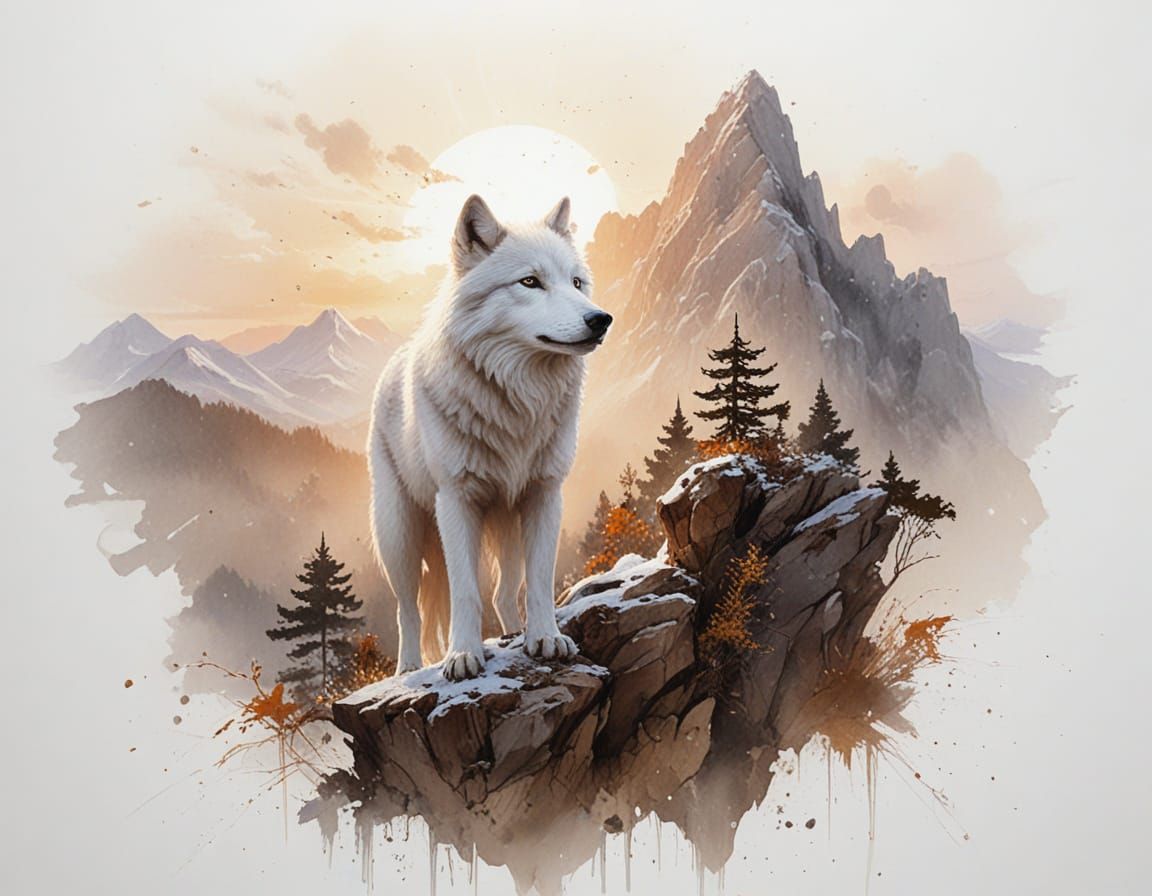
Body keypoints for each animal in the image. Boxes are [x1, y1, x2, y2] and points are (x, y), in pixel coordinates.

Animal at [368, 194, 613, 680]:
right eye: (530, 282)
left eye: (576, 282)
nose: (601, 319)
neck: (517, 401)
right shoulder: (456, 501)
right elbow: (464, 591)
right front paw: (463, 655)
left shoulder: (543, 494)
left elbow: (539, 581)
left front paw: (546, 638)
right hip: (399, 536)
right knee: (408, 609)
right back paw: (408, 668)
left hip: (506, 523)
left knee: (503, 592)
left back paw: (516, 632)